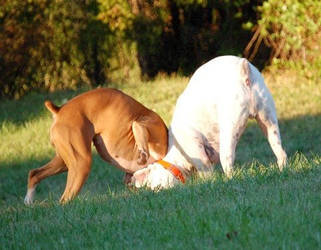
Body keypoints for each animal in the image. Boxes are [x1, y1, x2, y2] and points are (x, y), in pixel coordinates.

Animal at [24, 87, 168, 204]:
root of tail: (60, 110)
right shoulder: (142, 124)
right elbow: (141, 135)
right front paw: (142, 156)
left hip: (64, 162)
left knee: (34, 173)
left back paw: (28, 201)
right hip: (81, 164)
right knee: (64, 199)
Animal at [131, 55, 286, 189]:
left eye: (156, 188)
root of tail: (244, 71)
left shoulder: (198, 152)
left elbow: (206, 170)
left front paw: (208, 183)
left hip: (230, 127)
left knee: (227, 159)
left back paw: (230, 180)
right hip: (268, 119)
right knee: (280, 150)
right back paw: (283, 170)